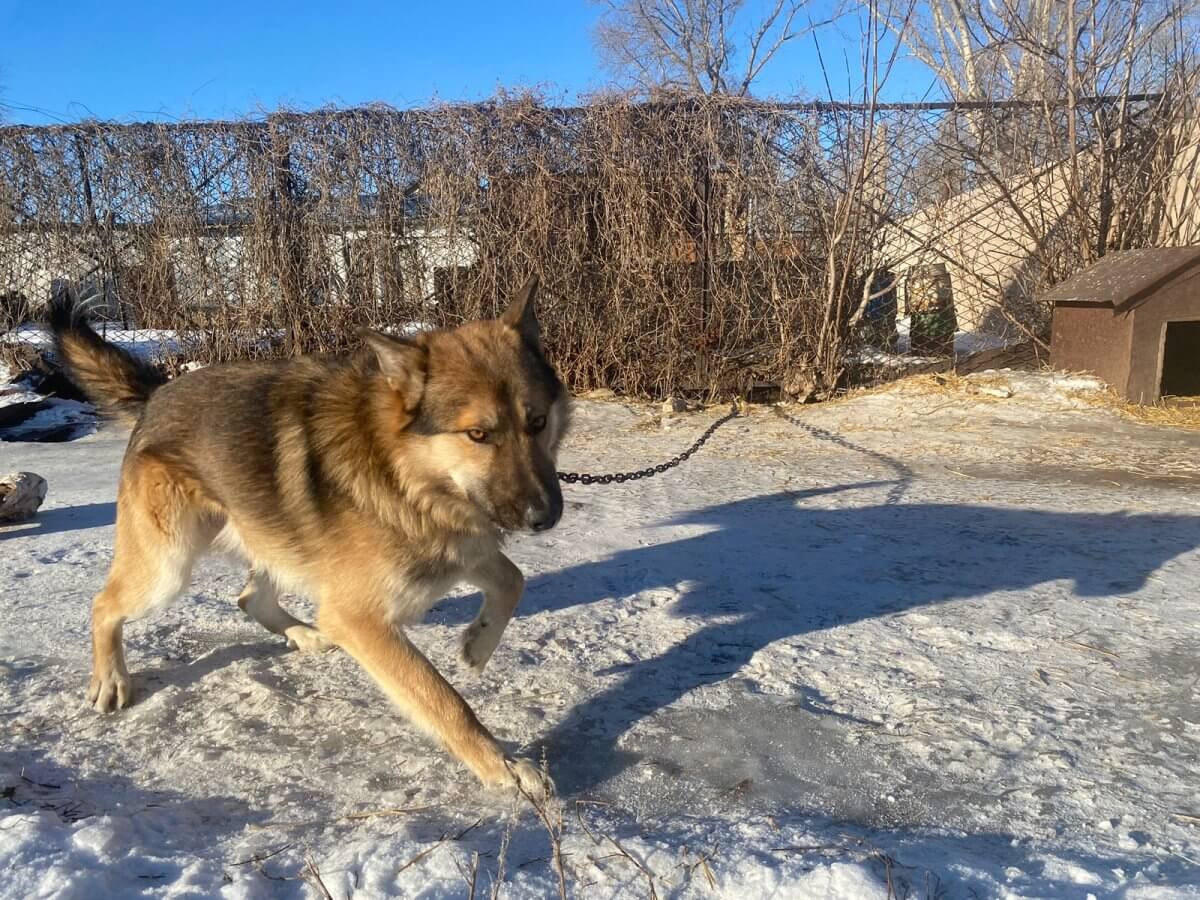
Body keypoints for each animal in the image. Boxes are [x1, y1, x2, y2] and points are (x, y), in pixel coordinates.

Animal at [49, 278, 568, 801]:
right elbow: (443, 699)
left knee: (250, 598)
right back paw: (111, 680)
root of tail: (158, 393)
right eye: (478, 434)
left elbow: (513, 579)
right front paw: (502, 765)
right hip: (167, 569)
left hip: (273, 542)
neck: (402, 469)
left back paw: (304, 634)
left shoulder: (460, 546)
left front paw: (479, 644)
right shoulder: (362, 619)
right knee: (104, 605)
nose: (545, 517)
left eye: (537, 422)